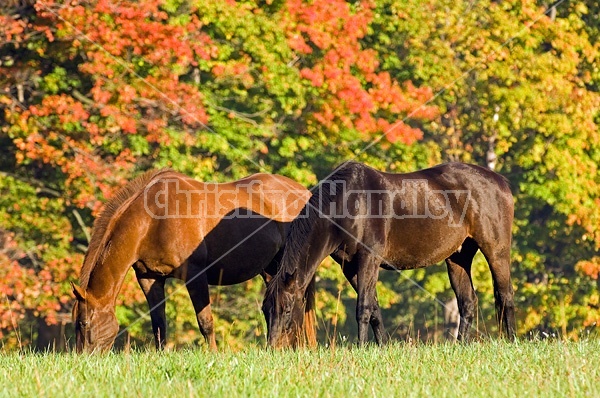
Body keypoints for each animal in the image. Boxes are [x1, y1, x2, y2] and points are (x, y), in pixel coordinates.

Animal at [73, 168, 316, 352]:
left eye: (84, 322)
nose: (83, 358)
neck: (153, 219)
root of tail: (303, 192)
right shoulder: (149, 277)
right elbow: (158, 324)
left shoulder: (195, 275)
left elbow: (205, 322)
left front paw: (214, 356)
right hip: (271, 269)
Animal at [262, 160, 516, 346]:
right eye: (265, 310)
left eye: (287, 309)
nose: (273, 347)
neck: (350, 202)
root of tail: (500, 181)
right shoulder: (350, 267)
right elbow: (374, 307)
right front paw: (382, 345)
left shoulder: (369, 259)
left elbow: (363, 307)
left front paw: (361, 347)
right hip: (458, 257)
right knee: (468, 302)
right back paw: (460, 345)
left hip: (496, 251)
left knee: (505, 295)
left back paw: (512, 341)